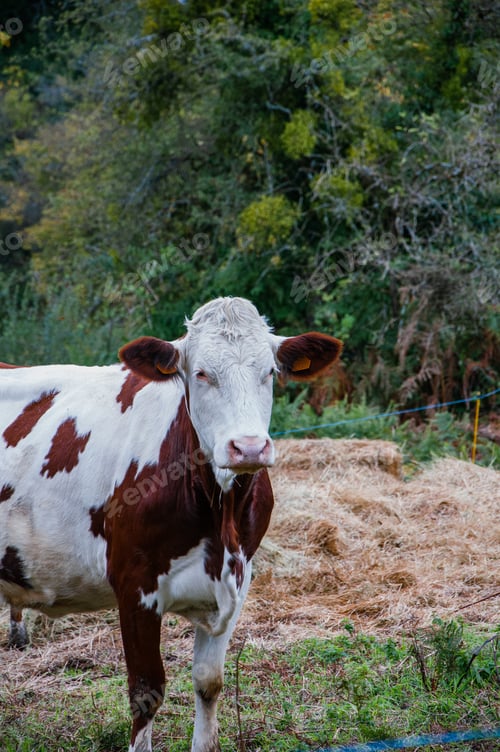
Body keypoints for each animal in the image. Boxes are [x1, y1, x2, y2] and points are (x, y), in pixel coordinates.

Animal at [0, 296, 342, 752]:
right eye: (201, 373)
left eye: (269, 372)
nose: (249, 447)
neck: (220, 517)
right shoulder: (135, 585)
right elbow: (146, 692)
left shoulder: (239, 579)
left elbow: (208, 682)